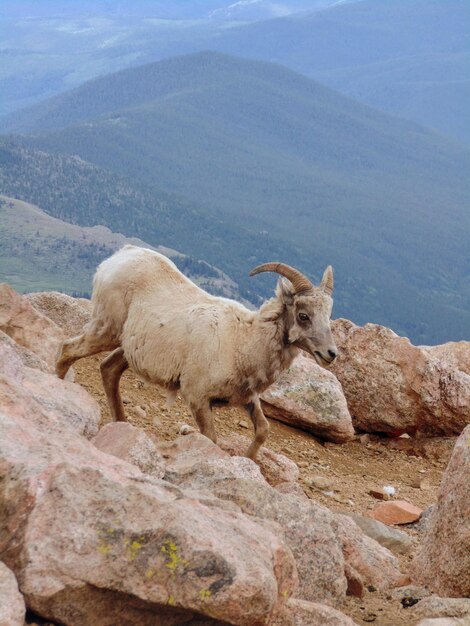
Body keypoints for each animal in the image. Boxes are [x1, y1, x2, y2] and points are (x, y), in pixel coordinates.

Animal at [56, 245, 338, 458]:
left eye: (328, 316)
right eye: (303, 316)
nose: (330, 354)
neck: (243, 340)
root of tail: (119, 256)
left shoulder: (247, 398)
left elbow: (263, 430)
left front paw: (248, 460)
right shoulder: (197, 397)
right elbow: (211, 438)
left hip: (127, 349)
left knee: (108, 369)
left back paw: (121, 423)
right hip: (106, 329)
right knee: (68, 350)